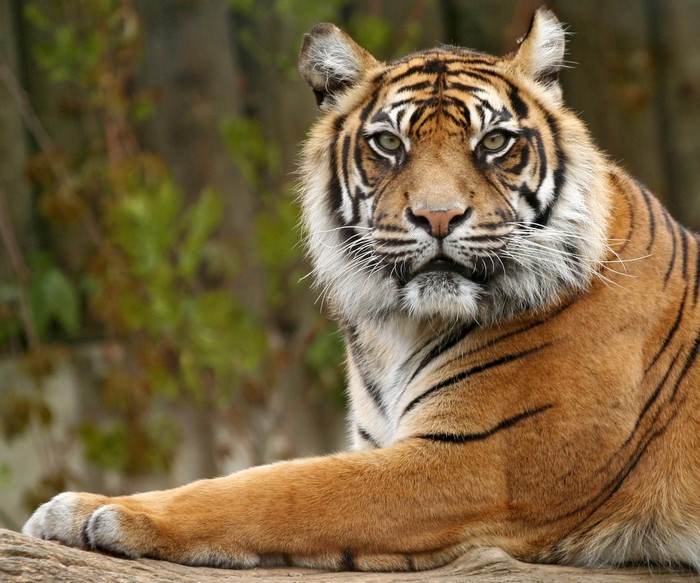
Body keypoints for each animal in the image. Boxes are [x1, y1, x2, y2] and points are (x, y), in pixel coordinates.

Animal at [22, 7, 700, 572]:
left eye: (494, 142)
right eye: (389, 143)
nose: (437, 216)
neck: (399, 328)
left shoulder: (476, 463)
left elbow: (277, 489)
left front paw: (100, 511)